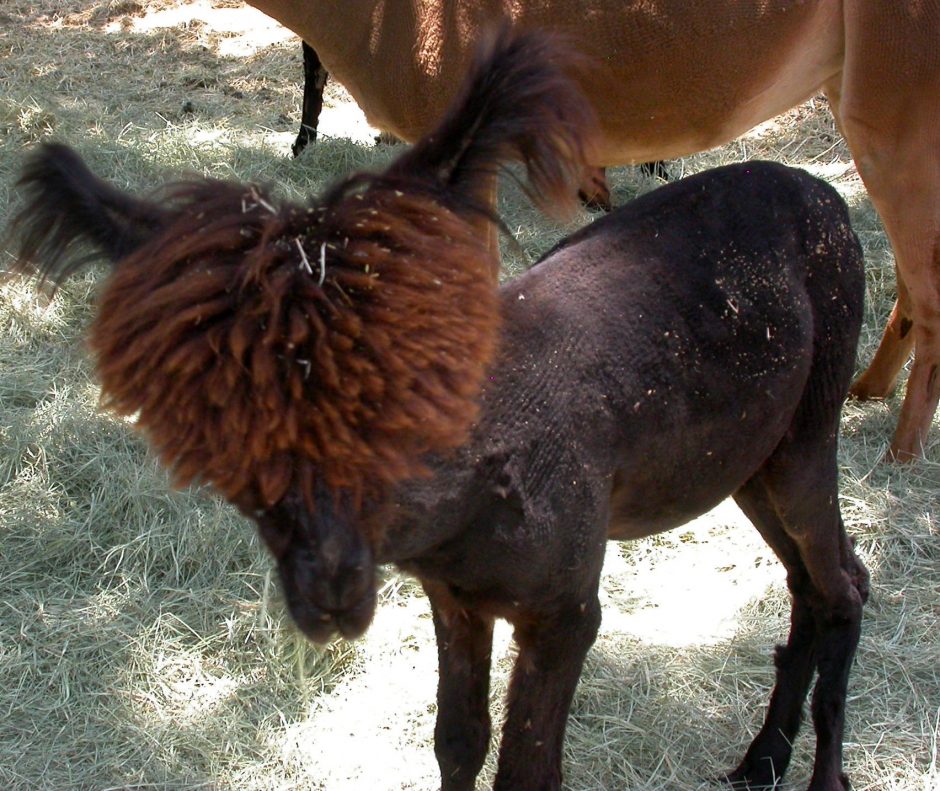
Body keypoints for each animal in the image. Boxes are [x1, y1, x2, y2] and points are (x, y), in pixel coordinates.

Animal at [9, 29, 869, 791]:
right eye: (220, 421)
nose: (329, 588)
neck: (470, 510)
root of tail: (822, 192)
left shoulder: (565, 605)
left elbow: (526, 770)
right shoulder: (454, 596)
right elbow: (458, 743)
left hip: (812, 414)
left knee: (843, 582)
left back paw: (821, 773)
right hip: (750, 458)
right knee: (810, 579)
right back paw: (762, 760)